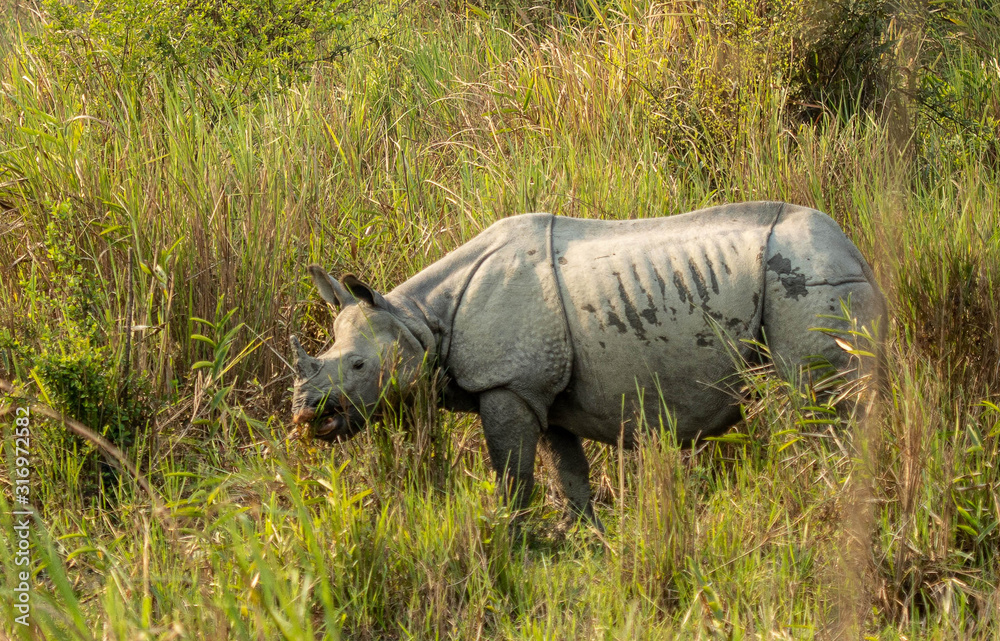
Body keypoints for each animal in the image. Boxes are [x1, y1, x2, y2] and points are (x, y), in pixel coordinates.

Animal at [290, 201, 885, 529]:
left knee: (815, 405)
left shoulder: (509, 382)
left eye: (359, 367)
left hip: (808, 283)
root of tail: (855, 253)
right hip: (815, 278)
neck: (417, 320)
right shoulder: (544, 394)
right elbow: (569, 472)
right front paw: (589, 541)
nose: (305, 414)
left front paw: (512, 539)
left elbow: (514, 474)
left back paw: (827, 500)